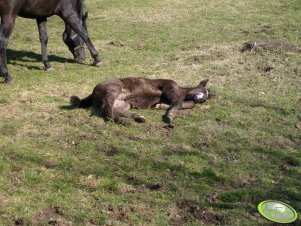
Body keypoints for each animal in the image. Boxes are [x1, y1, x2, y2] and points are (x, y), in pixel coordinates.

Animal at [70, 77, 211, 124]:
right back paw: (124, 121)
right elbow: (179, 103)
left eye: (205, 97)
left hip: (123, 103)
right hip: (114, 89)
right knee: (107, 108)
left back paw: (137, 117)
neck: (181, 91)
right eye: (201, 90)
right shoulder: (168, 86)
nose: (200, 99)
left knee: (114, 109)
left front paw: (161, 106)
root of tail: (93, 91)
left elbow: (187, 104)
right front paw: (169, 116)